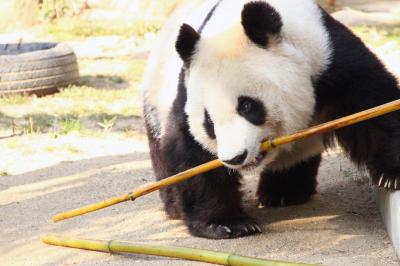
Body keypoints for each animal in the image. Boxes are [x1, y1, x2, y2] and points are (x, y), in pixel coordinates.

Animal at [141, 0, 400, 239]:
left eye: (246, 106)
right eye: (209, 122)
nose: (235, 158)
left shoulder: (330, 56)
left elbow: (374, 105)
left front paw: (390, 176)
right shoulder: (186, 92)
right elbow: (191, 152)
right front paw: (227, 223)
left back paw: (285, 192)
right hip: (155, 99)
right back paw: (175, 206)